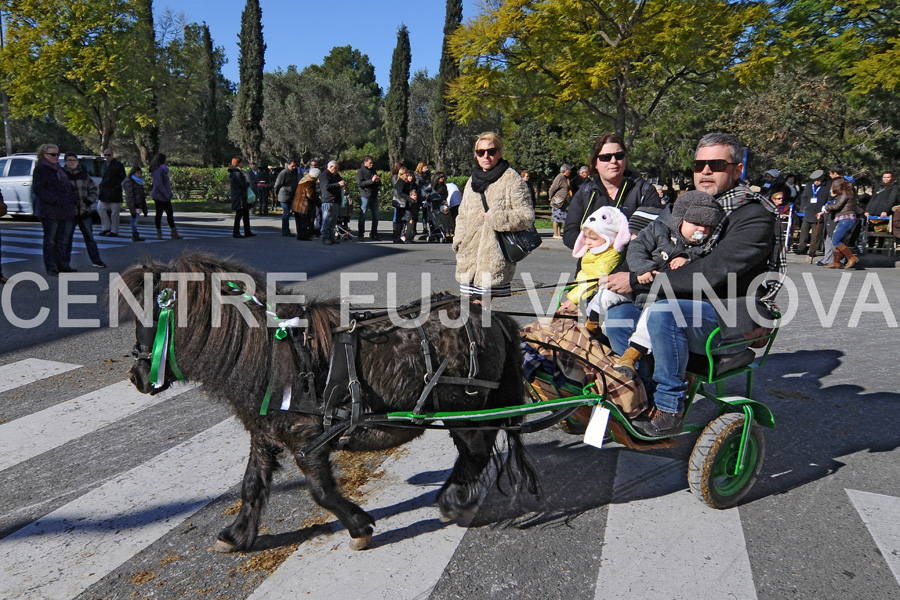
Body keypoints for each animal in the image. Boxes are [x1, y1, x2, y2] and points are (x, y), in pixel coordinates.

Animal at [123, 251, 536, 552]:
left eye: (148, 315)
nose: (136, 377)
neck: (275, 354)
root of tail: (492, 317)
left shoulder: (308, 440)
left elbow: (320, 491)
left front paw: (359, 526)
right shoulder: (265, 434)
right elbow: (252, 484)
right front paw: (237, 535)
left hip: (463, 407)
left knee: (475, 451)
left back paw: (453, 500)